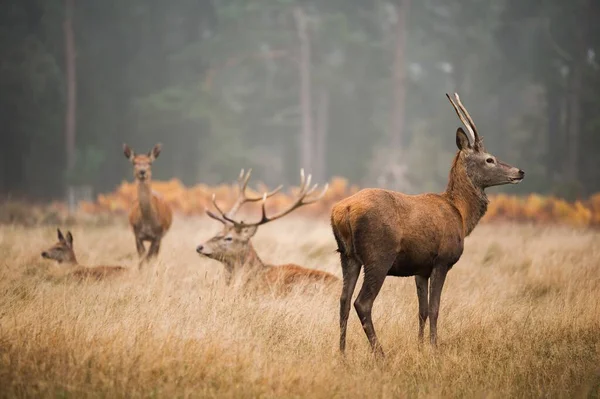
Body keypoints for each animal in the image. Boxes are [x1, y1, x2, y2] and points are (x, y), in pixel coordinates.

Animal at [330, 93, 524, 356]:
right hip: (378, 255)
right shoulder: (442, 260)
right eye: (489, 159)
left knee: (343, 301)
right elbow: (434, 308)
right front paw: (434, 347)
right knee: (362, 302)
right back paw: (380, 353)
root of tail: (344, 211)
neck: (461, 214)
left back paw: (342, 353)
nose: (520, 171)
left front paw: (420, 346)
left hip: (347, 256)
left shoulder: (420, 268)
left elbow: (421, 310)